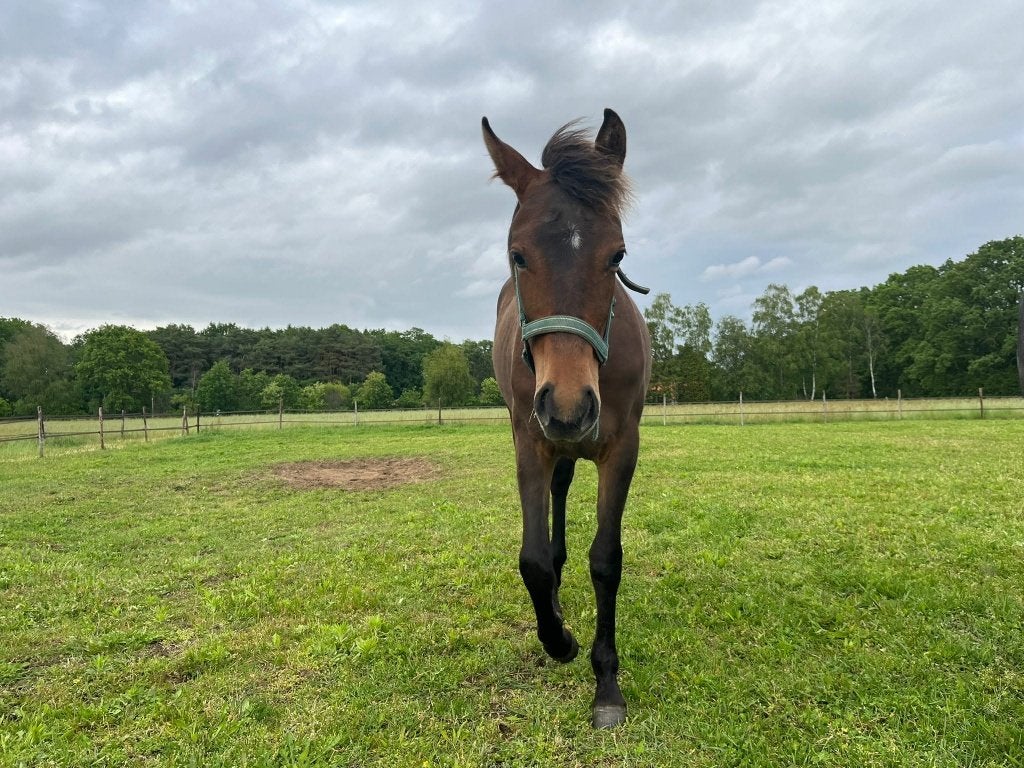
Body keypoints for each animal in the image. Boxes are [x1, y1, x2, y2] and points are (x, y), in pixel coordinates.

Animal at [482, 108, 652, 728]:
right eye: (517, 253)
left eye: (617, 255)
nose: (570, 406)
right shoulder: (530, 441)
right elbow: (532, 560)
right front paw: (559, 641)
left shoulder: (621, 446)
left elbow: (606, 559)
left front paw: (607, 684)